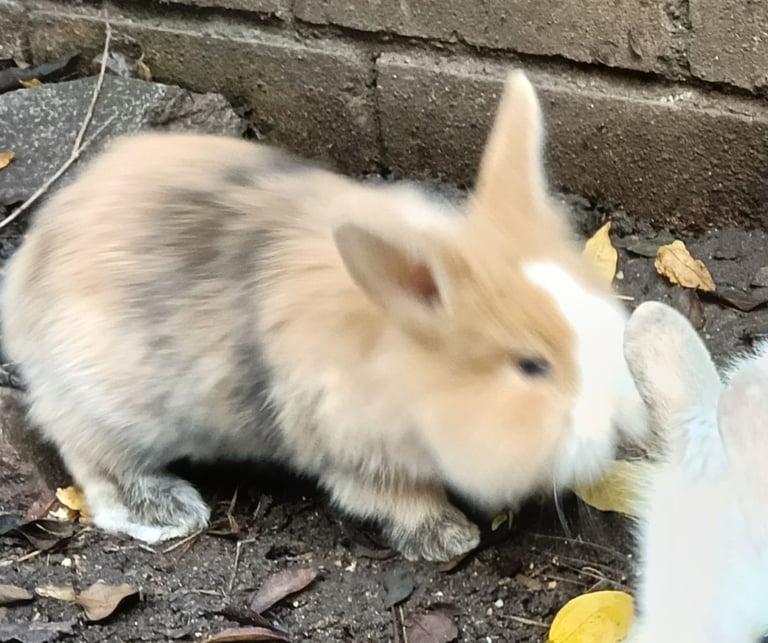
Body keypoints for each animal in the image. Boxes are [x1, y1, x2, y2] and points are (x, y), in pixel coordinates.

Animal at [0, 71, 646, 562]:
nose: (621, 423)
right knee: (85, 451)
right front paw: (448, 538)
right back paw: (166, 511)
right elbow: (397, 498)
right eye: (531, 367)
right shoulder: (354, 453)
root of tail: (26, 278)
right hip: (109, 405)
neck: (395, 356)